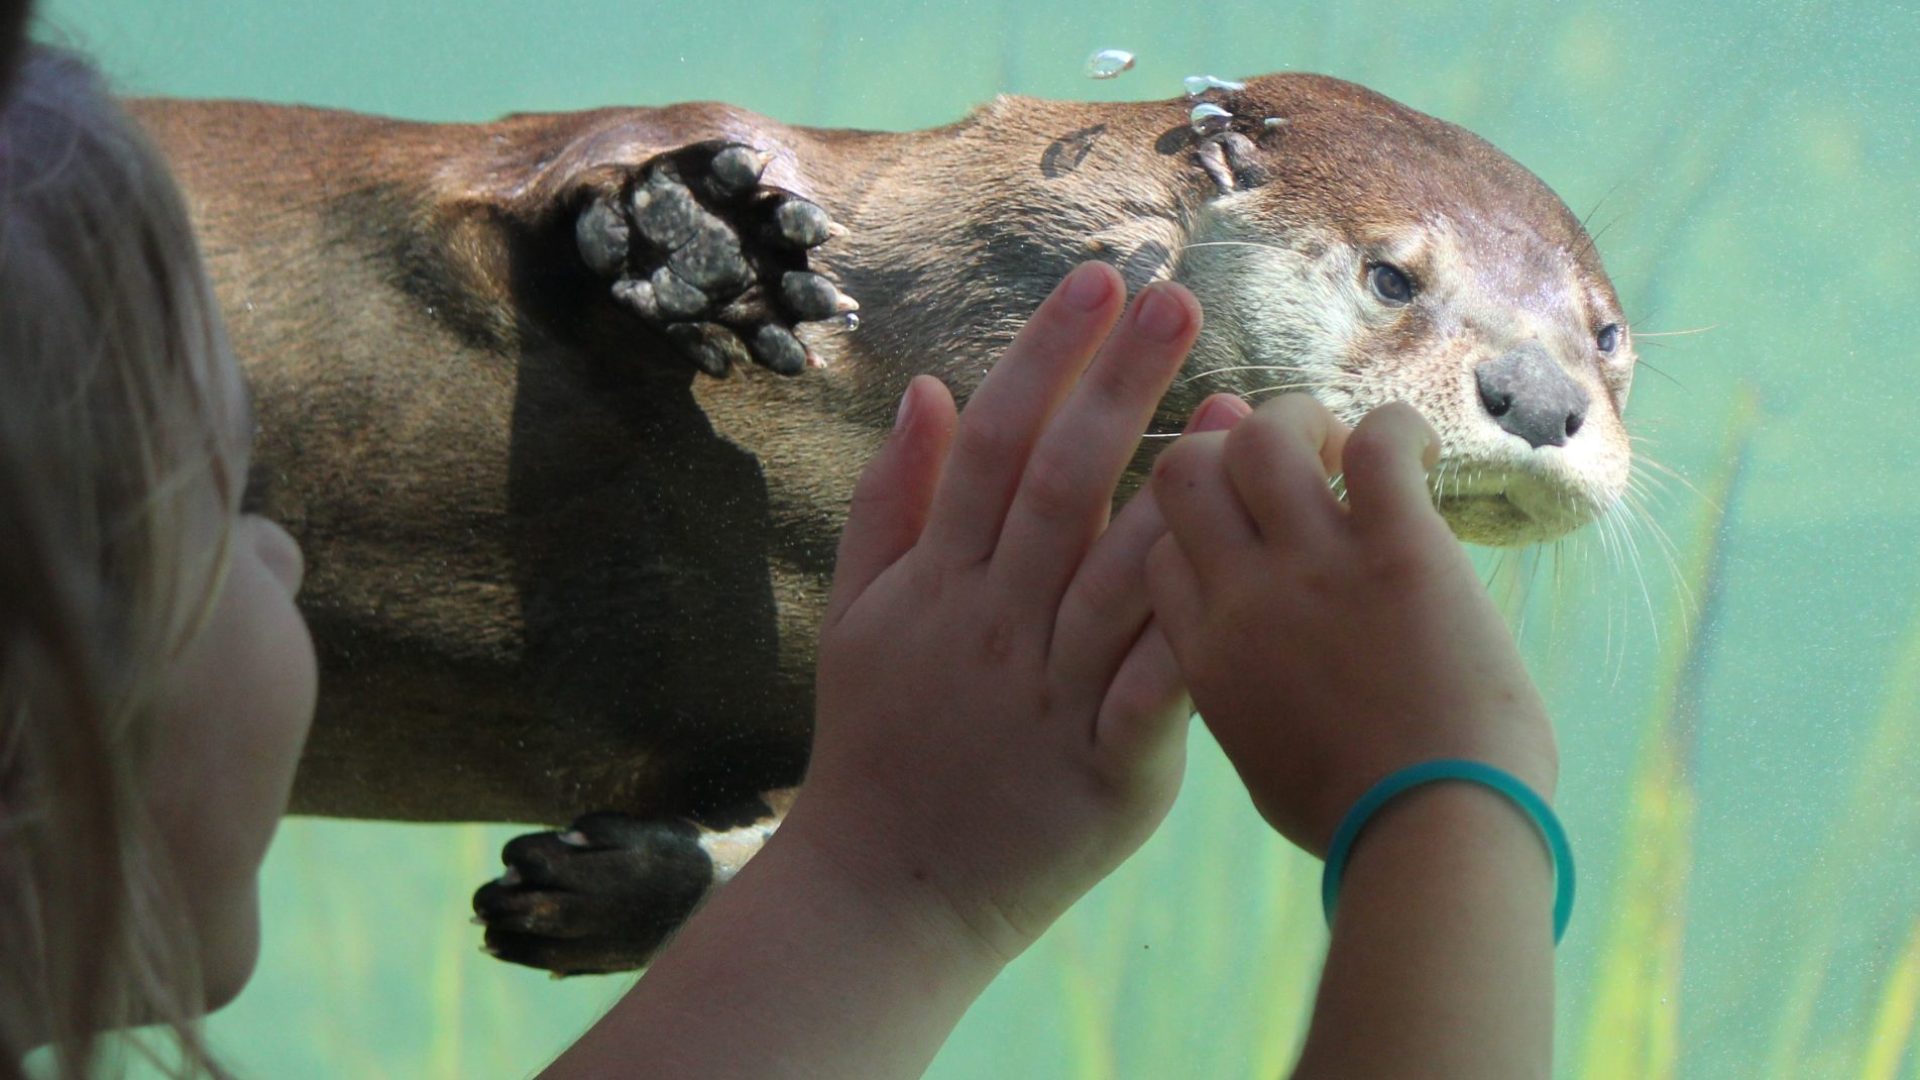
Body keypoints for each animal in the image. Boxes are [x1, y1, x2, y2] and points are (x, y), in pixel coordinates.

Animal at [126, 73, 1635, 973]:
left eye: (1608, 332)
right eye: (1393, 276)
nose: (1544, 395)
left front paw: (607, 889)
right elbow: (565, 161)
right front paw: (697, 239)